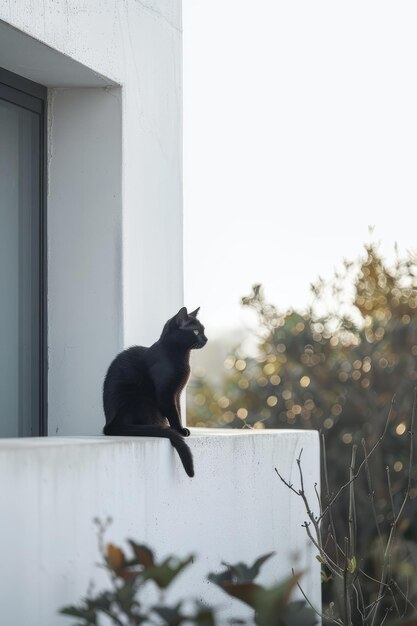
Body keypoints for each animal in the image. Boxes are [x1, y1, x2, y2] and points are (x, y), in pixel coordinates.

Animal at [102, 304, 206, 476]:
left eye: (204, 330)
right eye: (196, 331)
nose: (206, 339)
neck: (182, 357)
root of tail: (109, 424)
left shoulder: (177, 394)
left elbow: (177, 410)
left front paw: (181, 428)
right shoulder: (166, 393)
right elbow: (173, 413)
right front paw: (179, 430)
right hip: (141, 400)